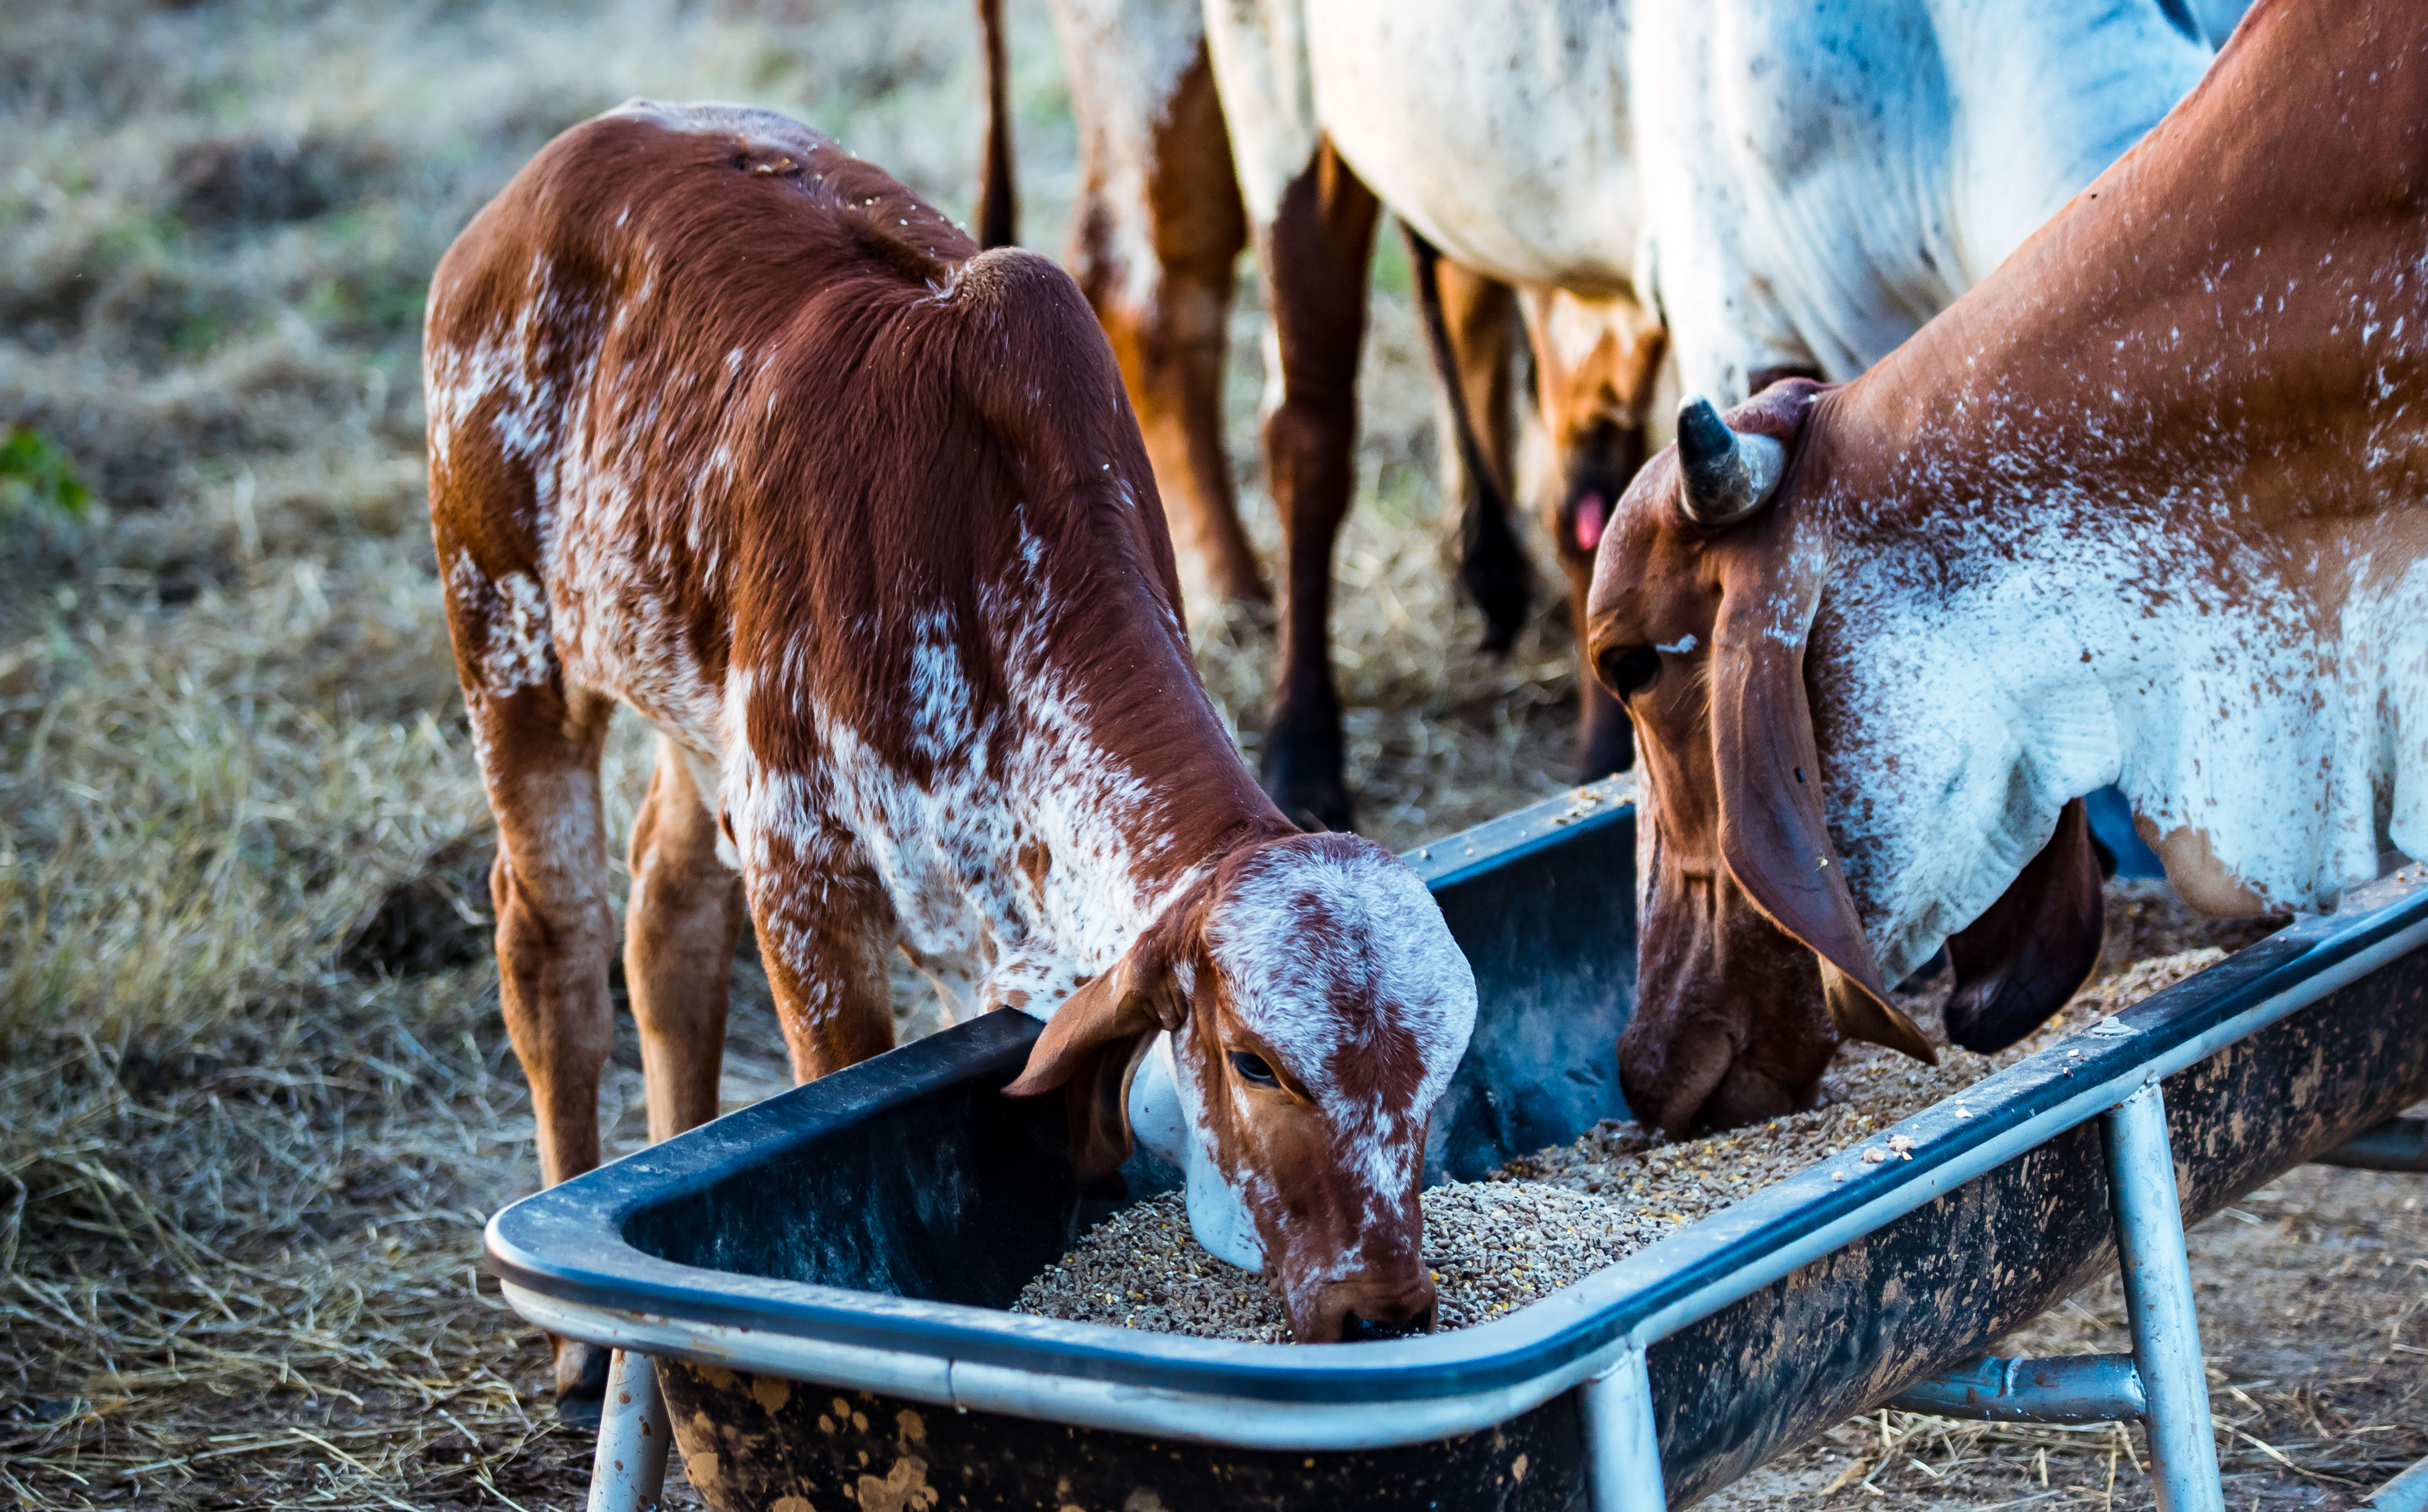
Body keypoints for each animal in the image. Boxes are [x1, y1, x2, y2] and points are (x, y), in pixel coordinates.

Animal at [422, 102, 1480, 1402]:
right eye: (1254, 1062)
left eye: (1438, 1077)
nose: (1382, 1307)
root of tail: (560, 159)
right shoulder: (805, 879)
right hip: (509, 642)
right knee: (549, 932)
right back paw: (581, 1352)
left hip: (689, 700)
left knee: (666, 906)